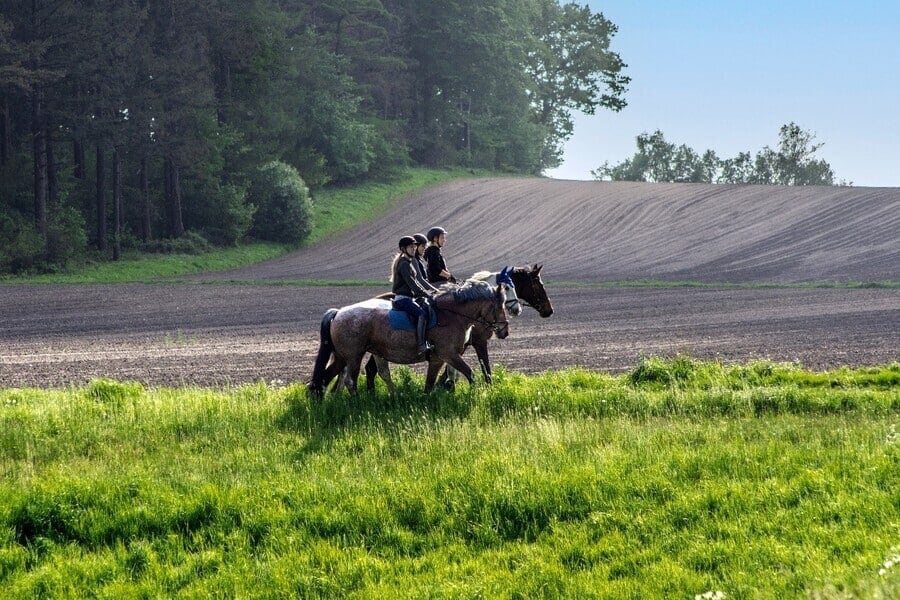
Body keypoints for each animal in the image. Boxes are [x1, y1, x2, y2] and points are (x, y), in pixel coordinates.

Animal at [308, 280, 510, 395]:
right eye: (500, 306)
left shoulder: (442, 358)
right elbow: (469, 373)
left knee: (324, 378)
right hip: (353, 356)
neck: (451, 315)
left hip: (342, 356)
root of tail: (338, 313)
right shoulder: (448, 355)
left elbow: (435, 381)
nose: (504, 331)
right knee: (350, 380)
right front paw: (478, 394)